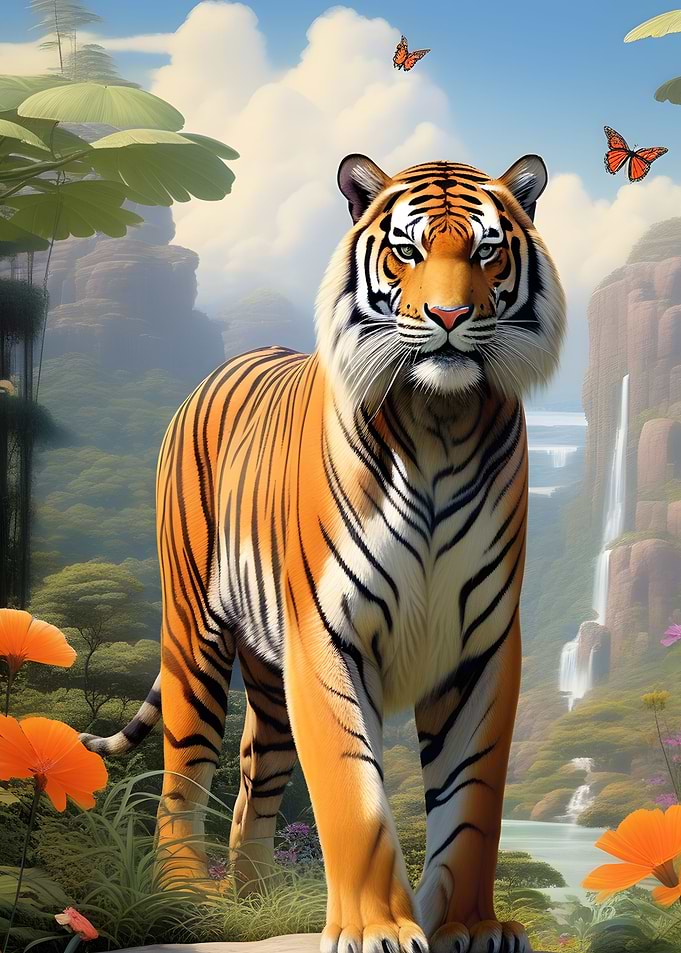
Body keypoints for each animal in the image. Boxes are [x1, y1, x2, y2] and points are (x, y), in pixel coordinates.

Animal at [82, 152, 565, 953]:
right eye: (407, 251)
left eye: (486, 251)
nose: (449, 318)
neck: (440, 417)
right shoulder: (327, 632)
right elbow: (351, 788)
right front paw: (377, 928)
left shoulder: (483, 644)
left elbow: (473, 801)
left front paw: (469, 925)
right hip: (196, 632)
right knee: (186, 766)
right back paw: (186, 892)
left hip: (269, 679)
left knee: (255, 775)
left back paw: (257, 903)